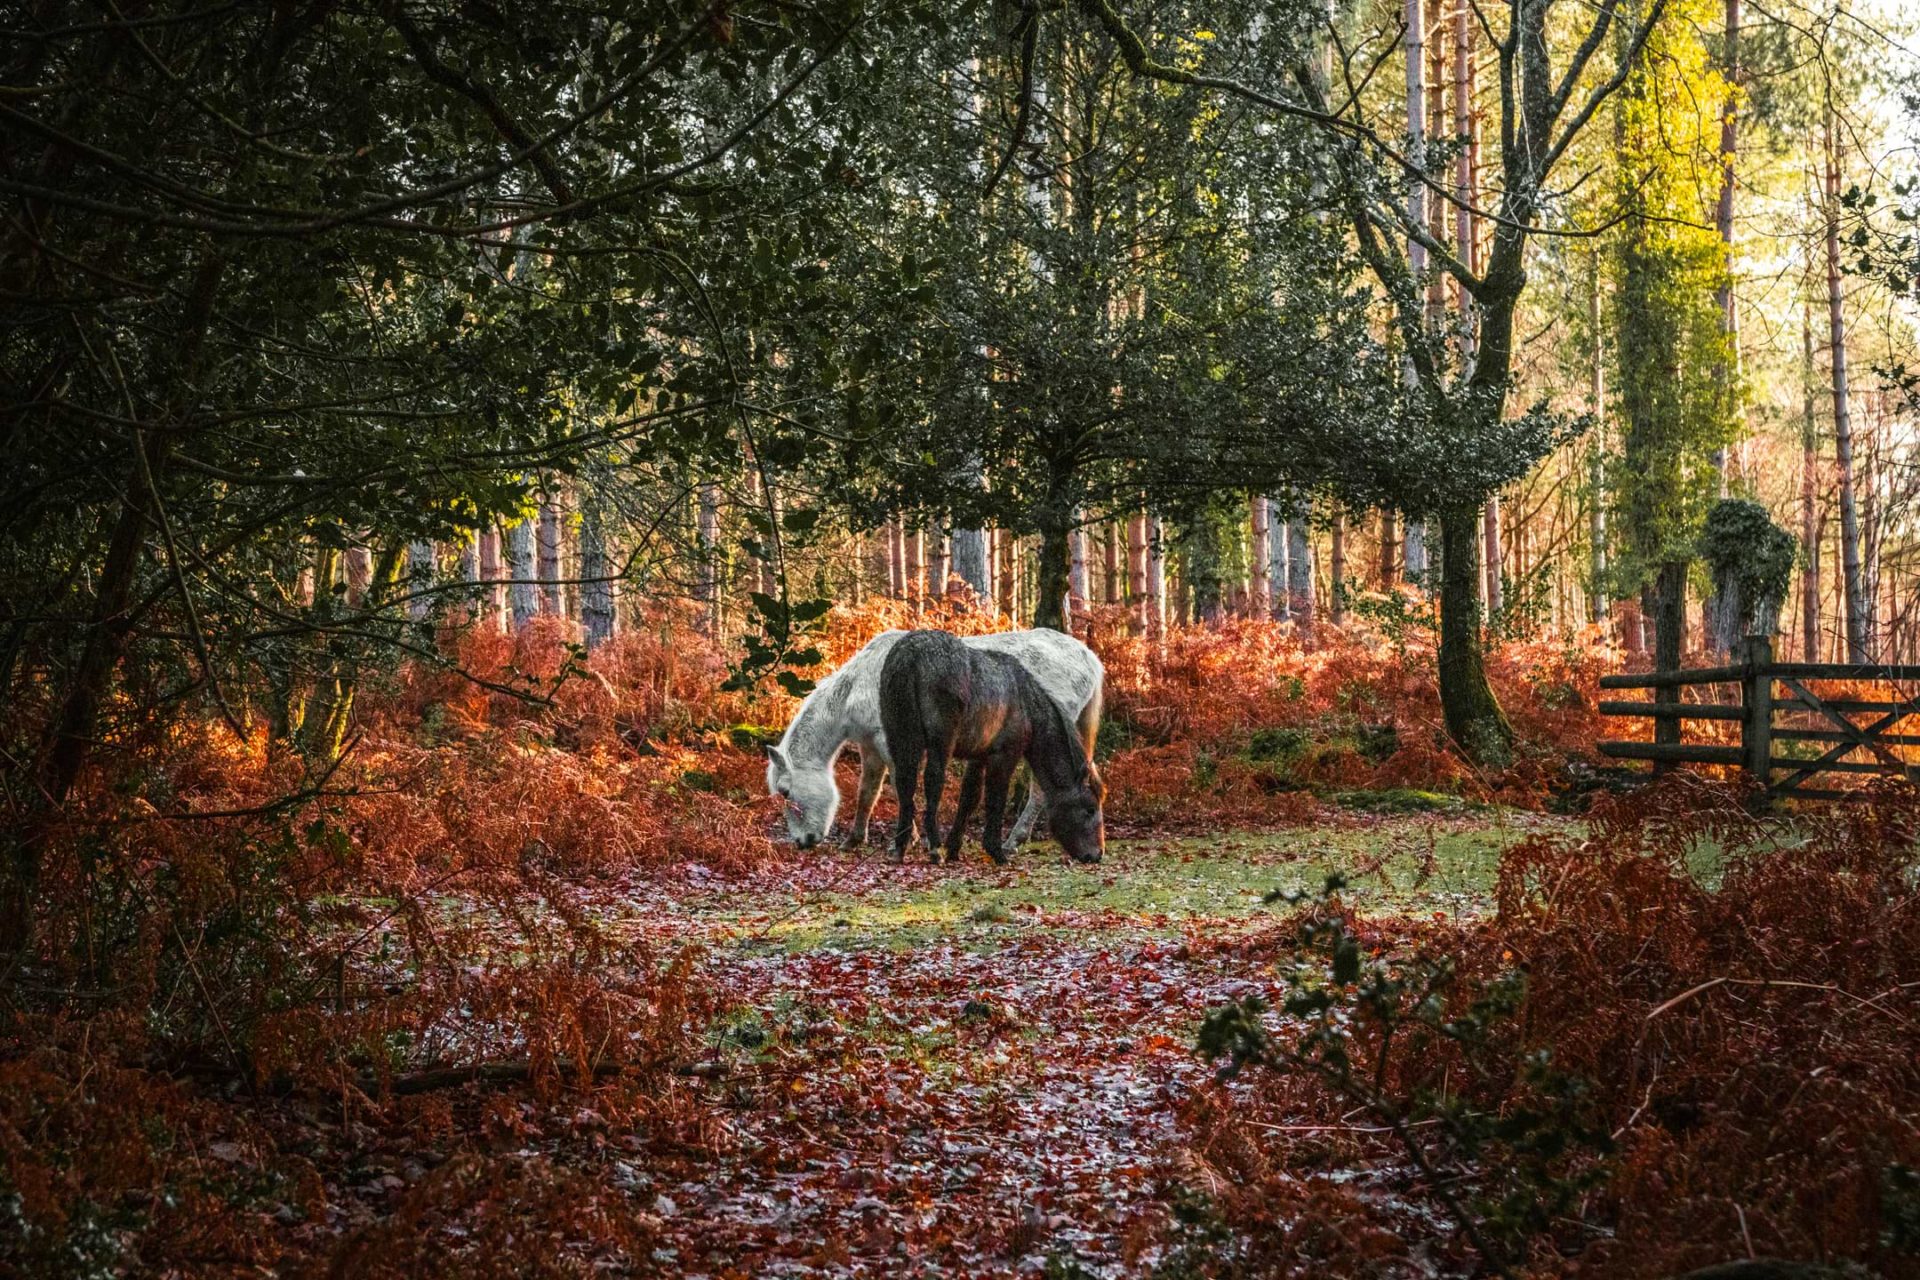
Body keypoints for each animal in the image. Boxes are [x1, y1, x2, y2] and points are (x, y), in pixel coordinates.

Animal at [760, 629, 1105, 852]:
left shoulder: (892, 743)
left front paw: (911, 838)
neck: (859, 685)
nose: (803, 842)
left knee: (1040, 789)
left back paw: (1013, 840)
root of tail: (1088, 657)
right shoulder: (870, 748)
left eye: (786, 791)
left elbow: (902, 785)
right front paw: (855, 839)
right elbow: (867, 792)